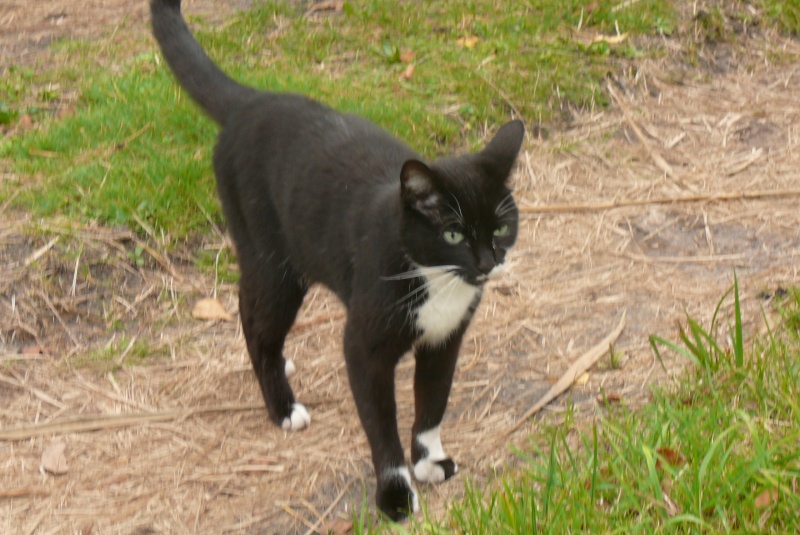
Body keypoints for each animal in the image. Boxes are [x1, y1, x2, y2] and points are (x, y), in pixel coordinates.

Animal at [150, 0, 524, 520]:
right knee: (256, 316)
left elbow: (432, 403)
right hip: (273, 260)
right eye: (452, 233)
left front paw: (430, 462)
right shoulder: (363, 347)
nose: (488, 262)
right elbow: (381, 426)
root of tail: (252, 102)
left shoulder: (446, 339)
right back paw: (282, 407)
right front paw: (395, 494)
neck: (433, 280)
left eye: (500, 228)